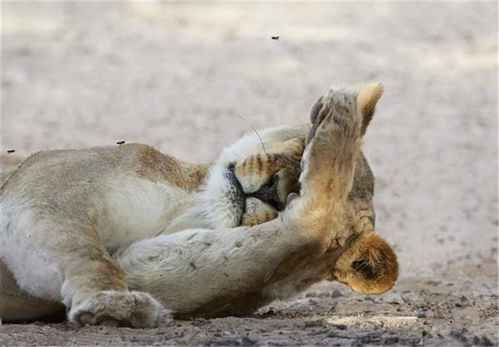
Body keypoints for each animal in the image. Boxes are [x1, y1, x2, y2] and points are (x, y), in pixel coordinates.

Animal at [0, 83, 398, 328]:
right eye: (301, 151)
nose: (273, 192)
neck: (191, 204)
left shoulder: (144, 266)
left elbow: (291, 238)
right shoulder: (49, 186)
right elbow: (85, 253)